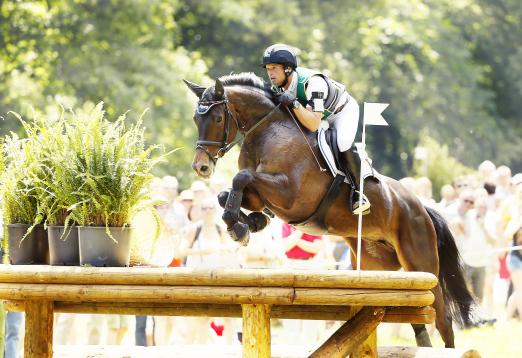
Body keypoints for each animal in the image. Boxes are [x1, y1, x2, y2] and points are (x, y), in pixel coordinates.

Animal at [183, 71, 476, 348]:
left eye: (217, 119)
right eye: (196, 120)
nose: (201, 167)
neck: (266, 130)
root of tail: (420, 207)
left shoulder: (290, 195)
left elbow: (241, 178)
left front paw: (242, 226)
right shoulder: (261, 195)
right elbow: (227, 194)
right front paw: (246, 224)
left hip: (421, 263)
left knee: (443, 319)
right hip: (377, 266)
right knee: (412, 311)